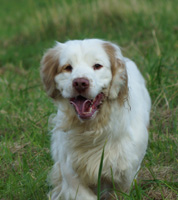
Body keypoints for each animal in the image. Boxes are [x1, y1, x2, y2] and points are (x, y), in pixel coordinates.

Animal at [40, 39, 152, 200]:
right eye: (67, 67)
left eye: (97, 66)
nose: (80, 82)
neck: (93, 129)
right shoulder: (71, 175)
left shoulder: (125, 175)